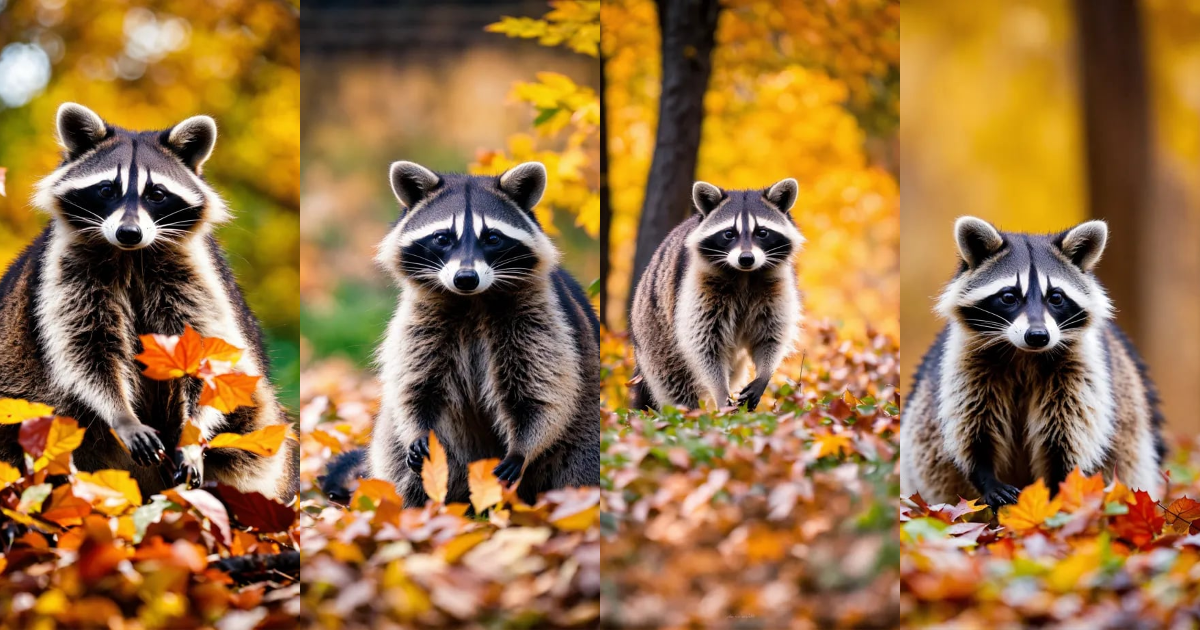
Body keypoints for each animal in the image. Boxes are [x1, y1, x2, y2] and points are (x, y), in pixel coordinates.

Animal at [0, 103, 298, 502]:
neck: (131, 256)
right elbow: (85, 350)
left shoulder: (196, 275)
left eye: (156, 193)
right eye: (106, 189)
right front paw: (121, 414)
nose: (129, 232)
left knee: (252, 429)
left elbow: (205, 352)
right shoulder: (64, 272)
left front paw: (192, 432)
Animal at [368, 160, 600, 506]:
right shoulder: (420, 320)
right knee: (396, 454)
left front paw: (522, 447)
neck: (472, 301)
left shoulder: (541, 318)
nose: (466, 278)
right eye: (442, 238)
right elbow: (414, 385)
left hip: (585, 420)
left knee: (581, 462)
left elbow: (544, 392)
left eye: (492, 237)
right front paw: (417, 427)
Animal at [629, 179, 804, 412]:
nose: (746, 258)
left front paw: (765, 373)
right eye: (729, 233)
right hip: (653, 332)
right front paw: (720, 391)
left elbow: (772, 335)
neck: (744, 274)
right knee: (673, 381)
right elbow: (703, 343)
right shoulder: (696, 285)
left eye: (762, 232)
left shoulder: (777, 285)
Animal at [899, 217, 1164, 507]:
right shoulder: (965, 364)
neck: (1025, 355)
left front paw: (1060, 488)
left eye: (1056, 297)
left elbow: (1068, 435)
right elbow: (972, 427)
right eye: (1009, 297)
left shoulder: (1080, 371)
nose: (1038, 335)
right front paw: (986, 476)